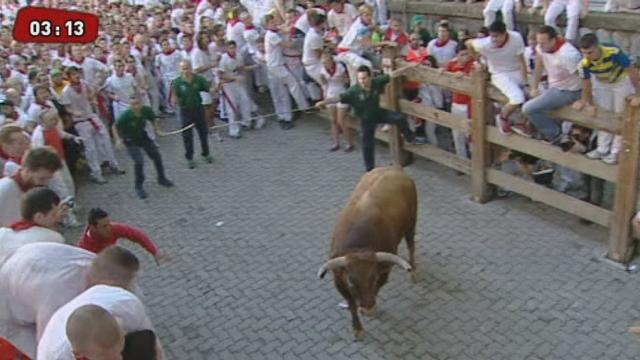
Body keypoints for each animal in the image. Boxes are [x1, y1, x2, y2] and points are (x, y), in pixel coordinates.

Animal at [318, 166, 418, 340]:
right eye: (351, 281)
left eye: (374, 277)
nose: (367, 308)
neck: (359, 245)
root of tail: (394, 168)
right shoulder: (339, 280)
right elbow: (351, 304)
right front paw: (357, 328)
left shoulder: (384, 271)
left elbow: (376, 289)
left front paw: (372, 310)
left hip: (411, 223)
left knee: (411, 245)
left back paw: (413, 271)